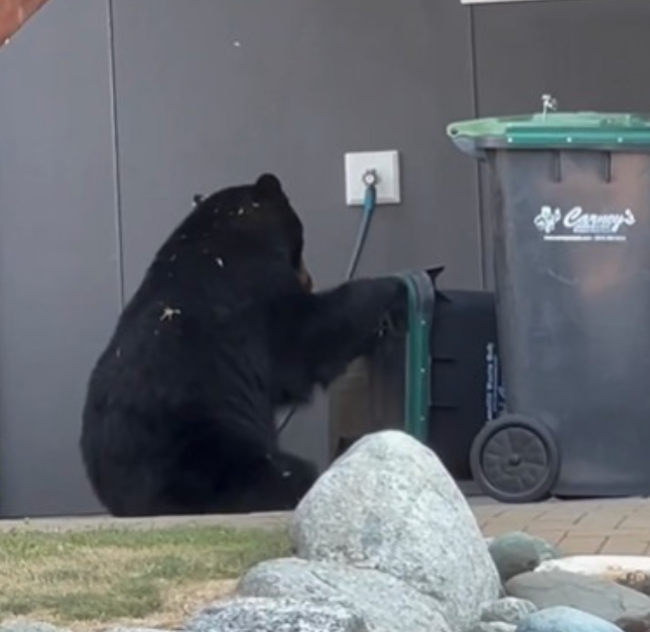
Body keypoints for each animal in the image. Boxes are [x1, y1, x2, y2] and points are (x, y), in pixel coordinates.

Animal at [80, 173, 407, 517]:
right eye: (301, 243)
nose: (310, 279)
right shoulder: (252, 293)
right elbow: (306, 339)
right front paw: (390, 287)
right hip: (218, 450)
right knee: (283, 474)